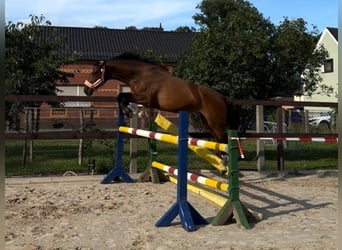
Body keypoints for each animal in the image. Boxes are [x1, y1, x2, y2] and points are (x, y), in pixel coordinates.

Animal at [83, 52, 238, 145]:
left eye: (95, 72)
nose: (86, 90)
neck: (140, 74)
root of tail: (221, 97)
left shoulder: (145, 98)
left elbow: (122, 96)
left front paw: (128, 112)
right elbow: (121, 97)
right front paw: (127, 112)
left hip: (216, 123)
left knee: (225, 140)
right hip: (207, 122)